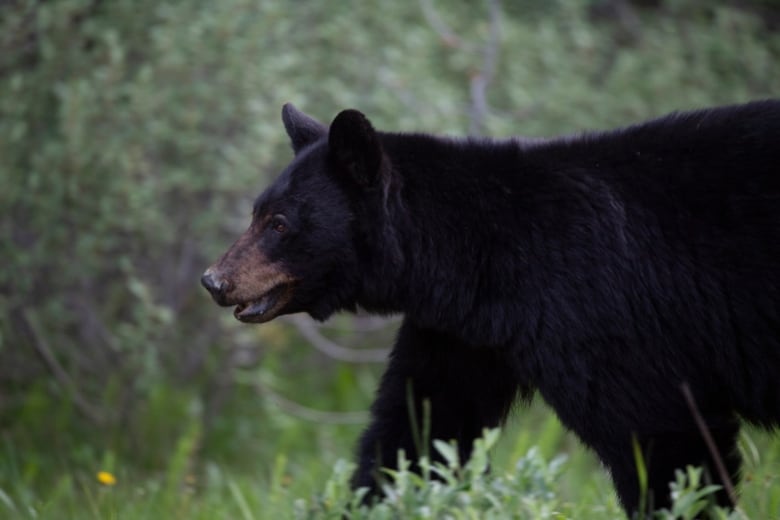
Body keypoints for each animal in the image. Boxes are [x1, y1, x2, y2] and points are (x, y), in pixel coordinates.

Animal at [203, 99, 780, 512]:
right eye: (257, 212)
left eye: (280, 223)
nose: (214, 280)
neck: (482, 256)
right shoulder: (464, 334)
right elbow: (422, 431)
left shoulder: (600, 312)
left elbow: (662, 435)